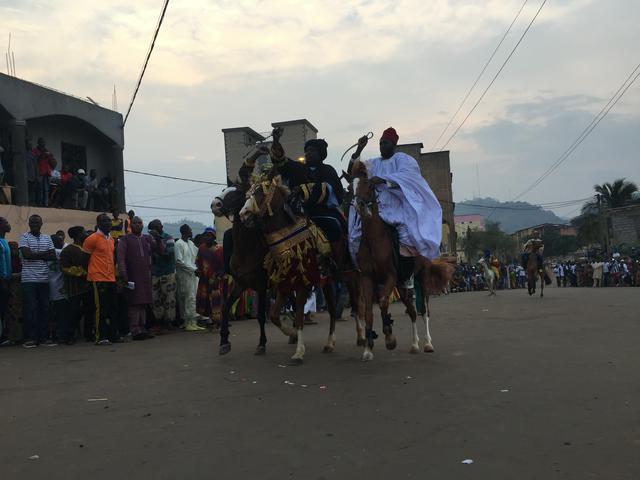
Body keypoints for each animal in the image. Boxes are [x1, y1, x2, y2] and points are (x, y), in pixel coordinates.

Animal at [352, 160, 452, 360]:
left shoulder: (390, 276)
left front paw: (389, 337)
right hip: (402, 285)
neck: (374, 241)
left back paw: (428, 343)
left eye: (368, 185)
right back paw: (414, 344)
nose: (359, 206)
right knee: (412, 312)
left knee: (424, 312)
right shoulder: (367, 278)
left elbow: (383, 301)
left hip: (422, 278)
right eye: (351, 187)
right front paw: (368, 348)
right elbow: (368, 311)